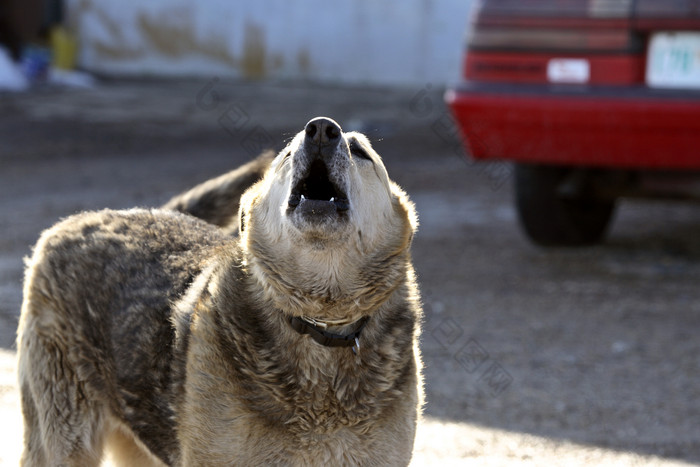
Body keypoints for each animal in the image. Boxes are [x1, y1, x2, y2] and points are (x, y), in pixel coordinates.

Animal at [17, 118, 422, 467]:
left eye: (361, 152)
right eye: (287, 154)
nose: (321, 129)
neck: (319, 319)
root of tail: (86, 217)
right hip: (66, 438)